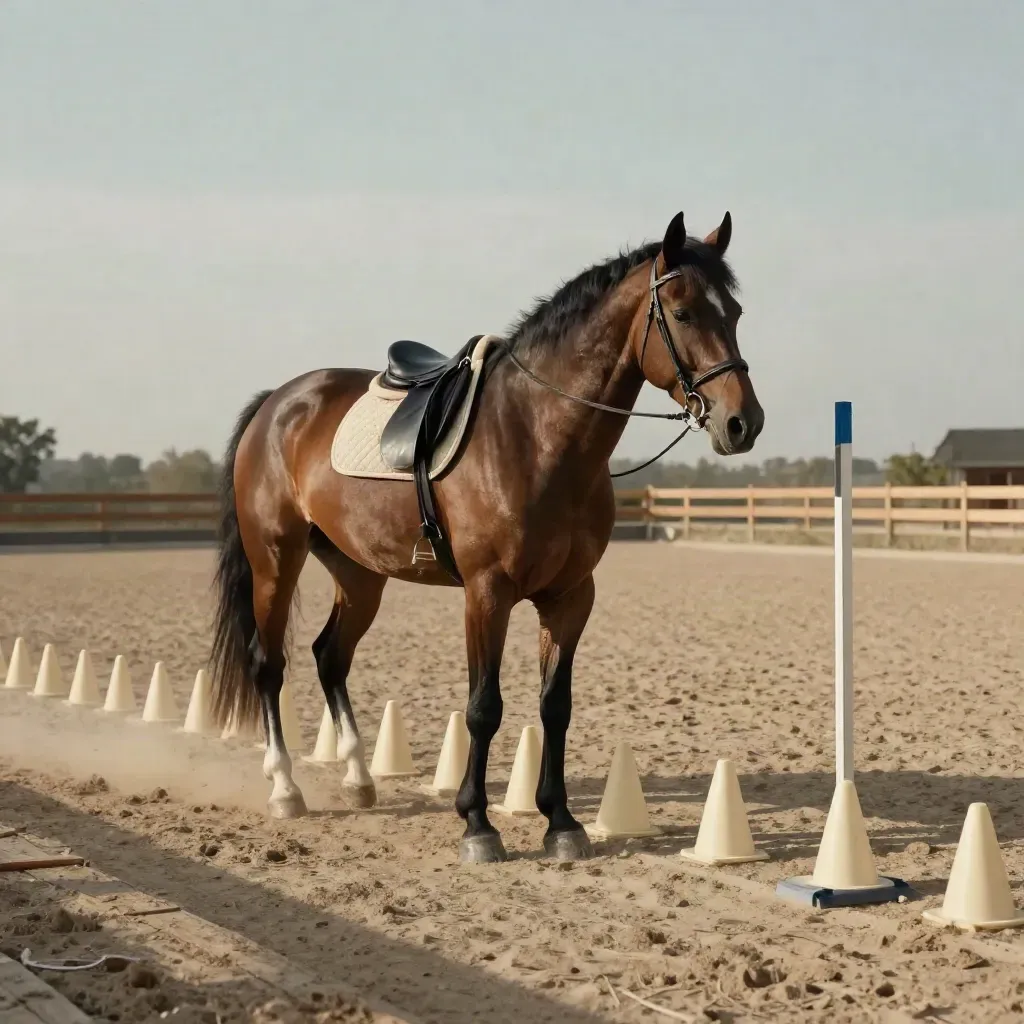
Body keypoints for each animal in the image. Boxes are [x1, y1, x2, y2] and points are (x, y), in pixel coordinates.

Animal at [208, 209, 763, 864]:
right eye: (682, 313)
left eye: (734, 312)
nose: (743, 423)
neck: (537, 434)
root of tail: (277, 402)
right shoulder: (486, 594)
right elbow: (483, 708)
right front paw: (477, 824)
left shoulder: (570, 597)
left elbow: (555, 707)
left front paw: (561, 822)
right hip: (276, 559)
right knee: (269, 664)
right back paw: (285, 789)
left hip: (359, 573)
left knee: (330, 657)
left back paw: (359, 779)